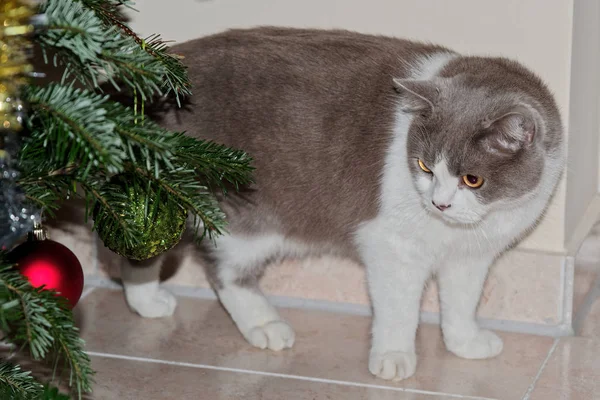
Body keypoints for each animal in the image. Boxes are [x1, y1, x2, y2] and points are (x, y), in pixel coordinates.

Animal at [117, 27, 564, 382]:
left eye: (473, 179)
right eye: (424, 165)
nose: (439, 204)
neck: (475, 223)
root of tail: (145, 79)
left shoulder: (472, 257)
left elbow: (462, 301)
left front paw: (464, 343)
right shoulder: (391, 245)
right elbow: (399, 307)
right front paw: (394, 357)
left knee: (145, 244)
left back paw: (147, 301)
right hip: (240, 215)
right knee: (223, 271)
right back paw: (265, 324)